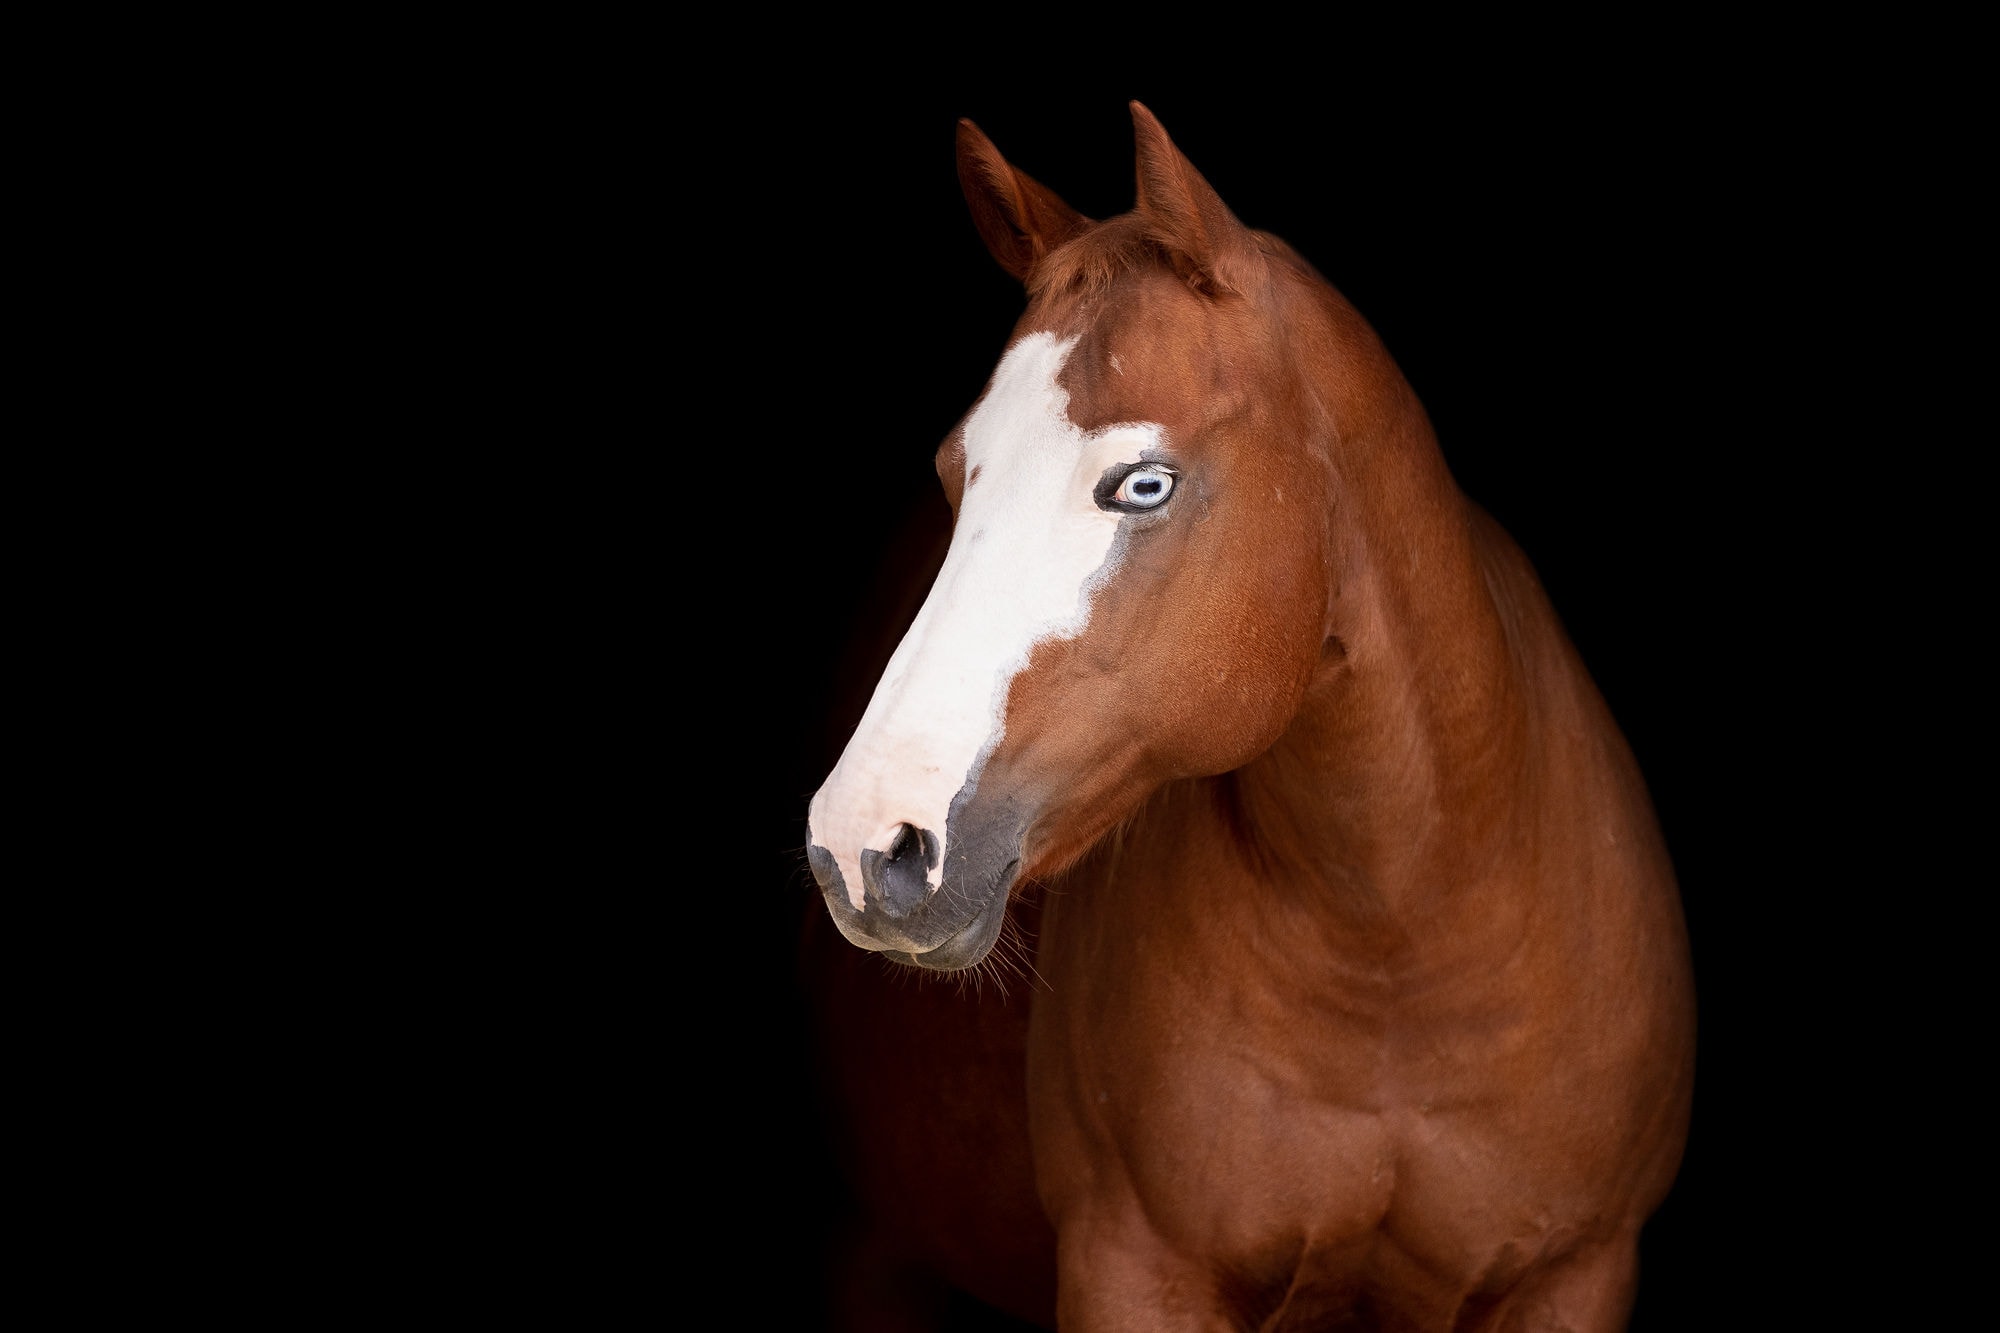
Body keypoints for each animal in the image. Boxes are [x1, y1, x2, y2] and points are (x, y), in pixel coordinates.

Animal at [792, 98, 1688, 1320]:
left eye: (1144, 484)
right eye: (951, 474)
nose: (864, 843)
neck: (1397, 948)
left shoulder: (1576, 1272)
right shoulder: (1134, 1270)